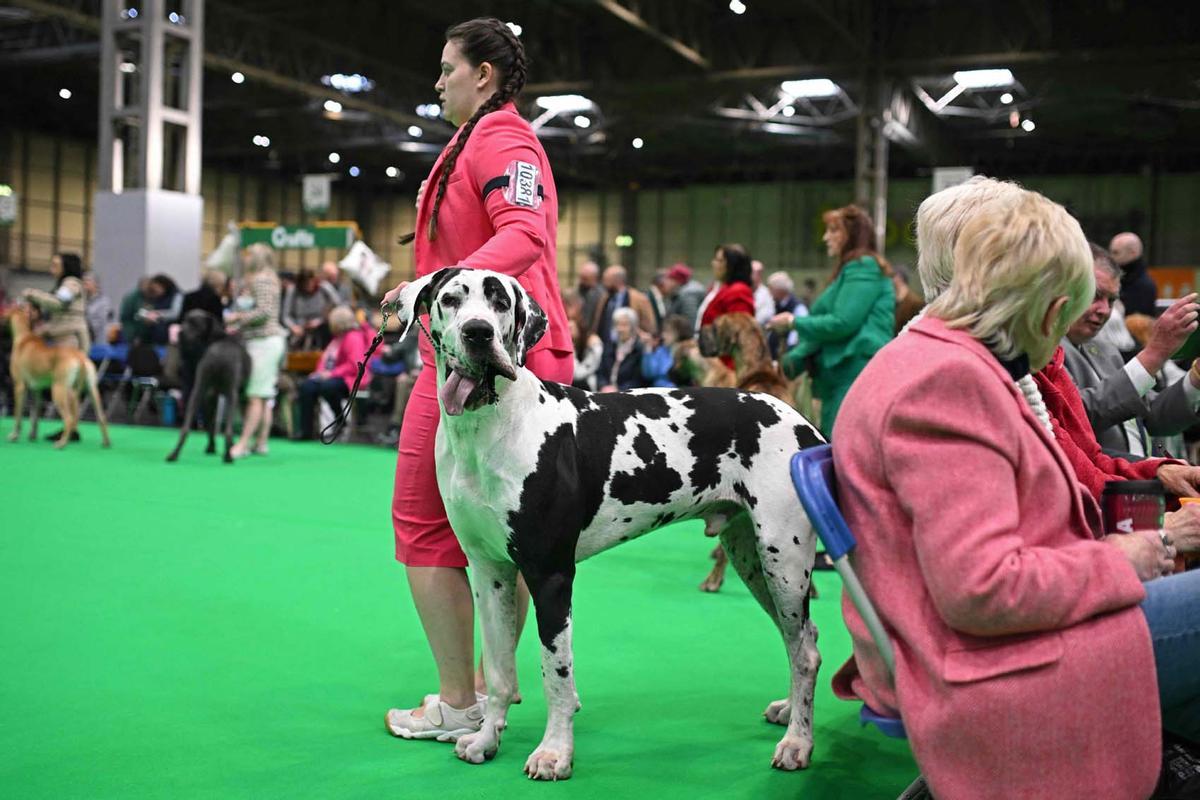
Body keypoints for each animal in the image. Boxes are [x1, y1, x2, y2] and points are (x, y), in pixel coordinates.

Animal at [6, 303, 111, 448]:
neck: (24, 337)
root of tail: (79, 357)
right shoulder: (36, 391)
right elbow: (35, 416)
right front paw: (32, 436)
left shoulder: (19, 387)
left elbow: (18, 416)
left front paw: (14, 435)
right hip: (92, 391)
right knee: (101, 417)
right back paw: (106, 442)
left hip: (59, 390)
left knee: (69, 418)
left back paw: (61, 443)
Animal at [393, 268, 825, 782]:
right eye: (450, 299)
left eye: (500, 303)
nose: (478, 333)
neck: (490, 427)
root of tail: (801, 422)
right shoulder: (489, 572)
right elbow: (499, 670)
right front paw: (484, 740)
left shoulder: (551, 575)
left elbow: (556, 674)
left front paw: (554, 753)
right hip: (753, 559)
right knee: (799, 639)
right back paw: (789, 712)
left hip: (784, 559)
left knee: (805, 652)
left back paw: (798, 742)